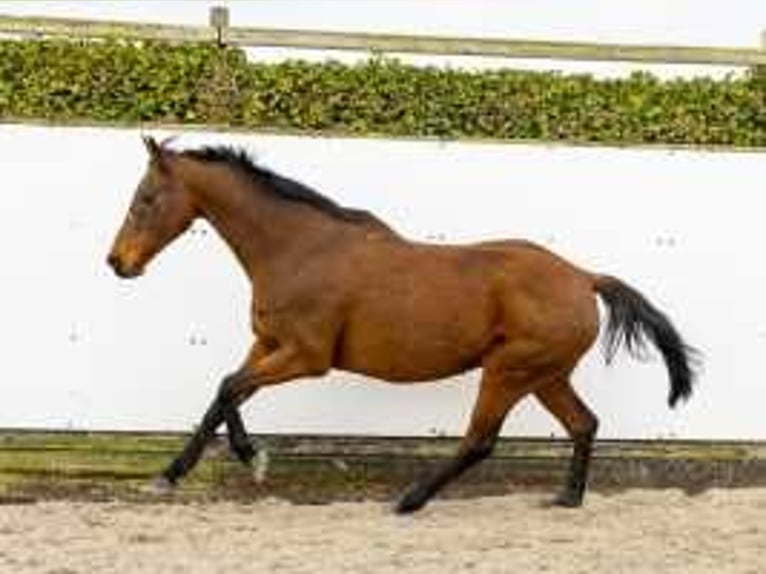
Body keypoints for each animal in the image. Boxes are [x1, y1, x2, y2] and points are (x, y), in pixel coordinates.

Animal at [108, 138, 704, 512]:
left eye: (145, 199)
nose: (117, 263)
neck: (299, 248)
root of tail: (583, 277)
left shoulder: (307, 356)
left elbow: (231, 388)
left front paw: (253, 459)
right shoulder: (268, 344)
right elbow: (222, 393)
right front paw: (167, 476)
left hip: (509, 370)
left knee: (480, 441)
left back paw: (409, 500)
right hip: (545, 375)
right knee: (584, 424)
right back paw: (566, 499)